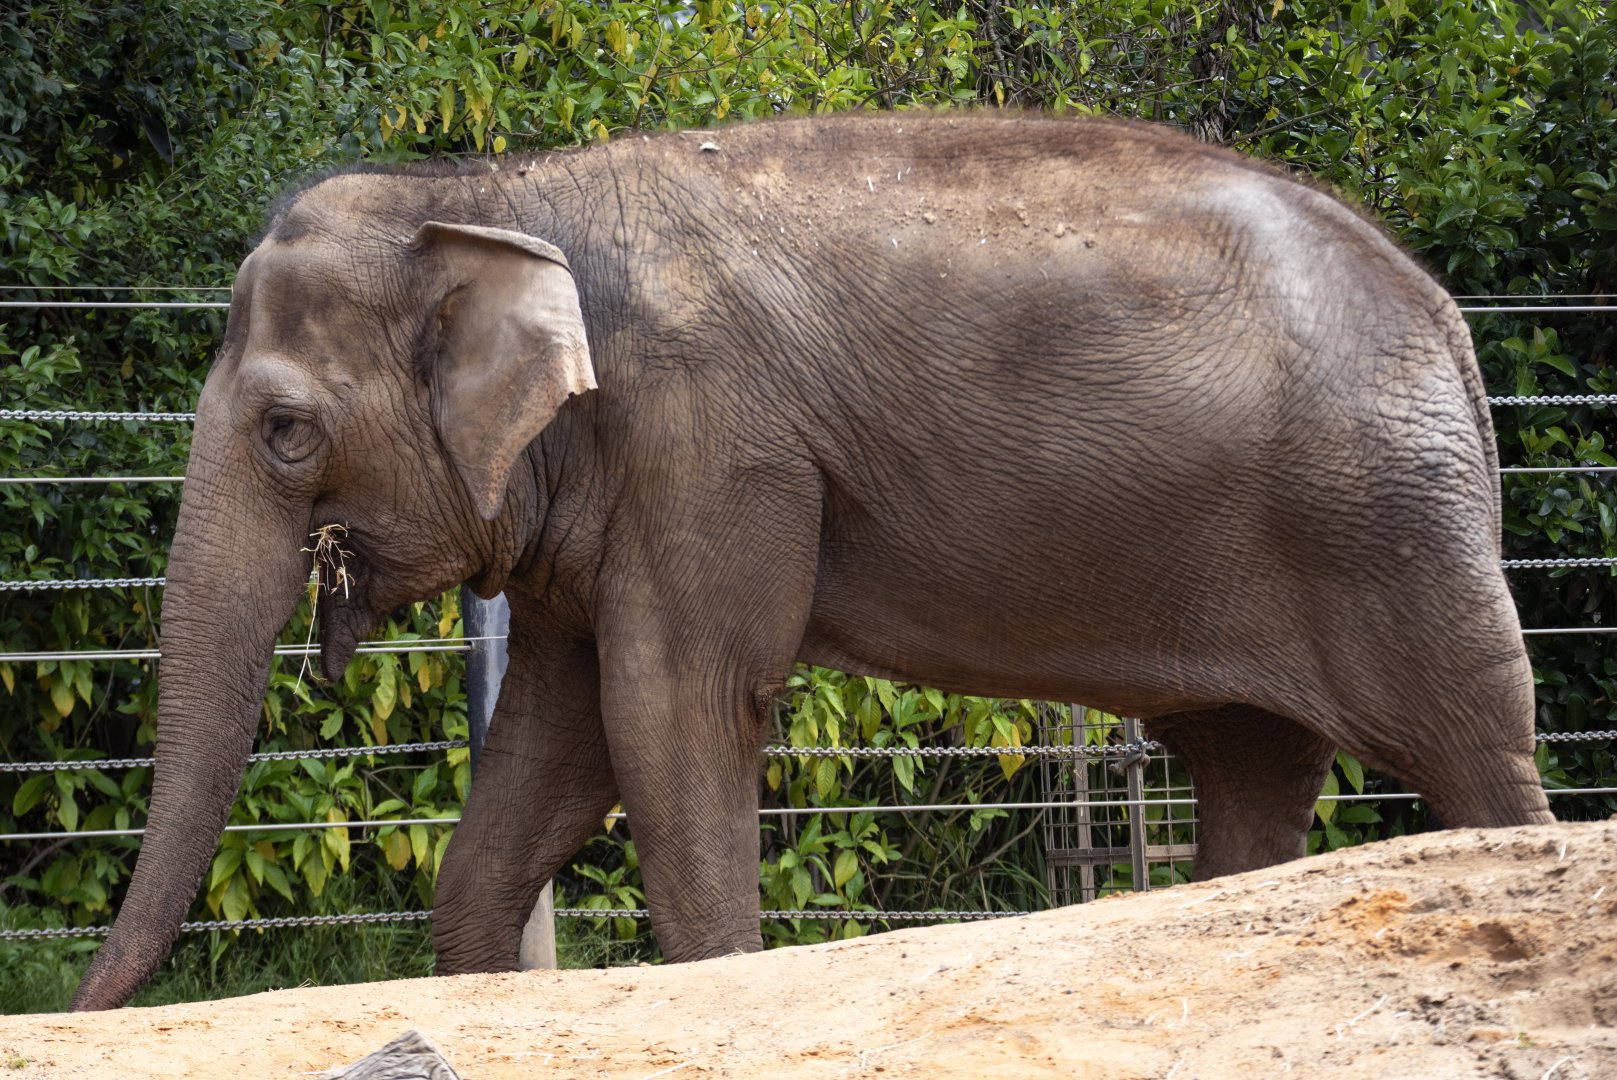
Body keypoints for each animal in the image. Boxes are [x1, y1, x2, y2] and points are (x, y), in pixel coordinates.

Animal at [70, 110, 1553, 1011]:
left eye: (284, 432)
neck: (498, 191)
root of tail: (1446, 315)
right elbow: (553, 746)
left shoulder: (711, 444)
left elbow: (670, 714)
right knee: (1252, 768)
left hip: (1389, 527)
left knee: (1474, 746)